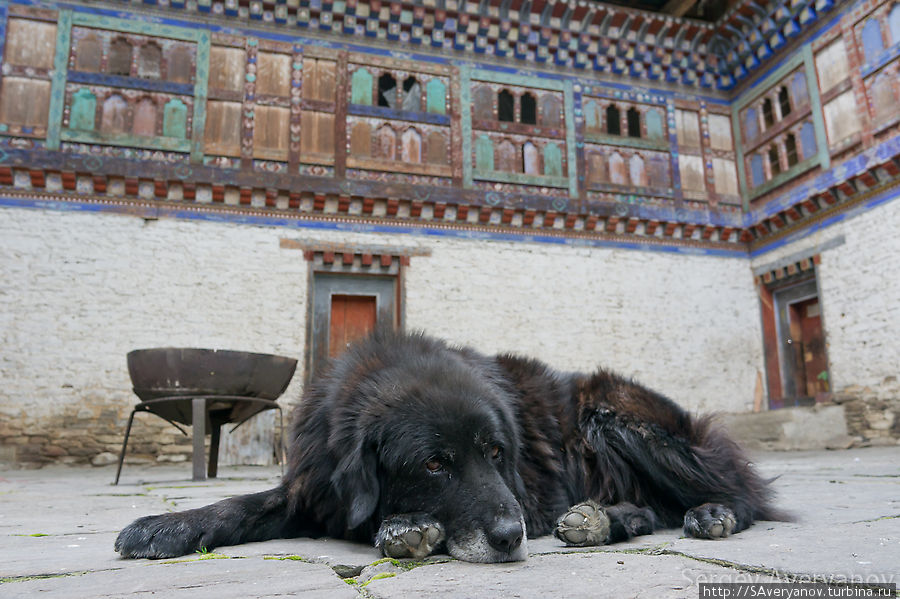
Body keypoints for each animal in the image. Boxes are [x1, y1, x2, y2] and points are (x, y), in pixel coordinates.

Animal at [116, 332, 784, 564]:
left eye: (496, 454)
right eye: (434, 464)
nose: (512, 538)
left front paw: (403, 528)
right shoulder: (312, 487)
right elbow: (240, 505)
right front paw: (165, 525)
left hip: (615, 412)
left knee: (744, 492)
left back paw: (714, 514)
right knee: (647, 511)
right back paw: (598, 520)